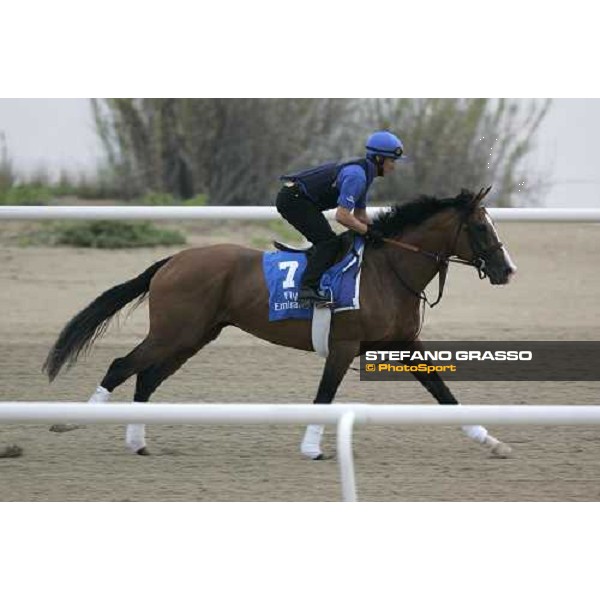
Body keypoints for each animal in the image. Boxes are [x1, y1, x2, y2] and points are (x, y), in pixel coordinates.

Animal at [44, 190, 516, 458]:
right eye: (480, 226)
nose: (506, 270)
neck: (388, 270)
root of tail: (173, 259)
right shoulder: (344, 346)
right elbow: (324, 397)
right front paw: (311, 448)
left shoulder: (403, 344)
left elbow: (443, 392)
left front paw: (491, 441)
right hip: (172, 332)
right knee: (122, 366)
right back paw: (71, 422)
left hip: (193, 336)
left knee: (146, 378)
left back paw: (138, 441)